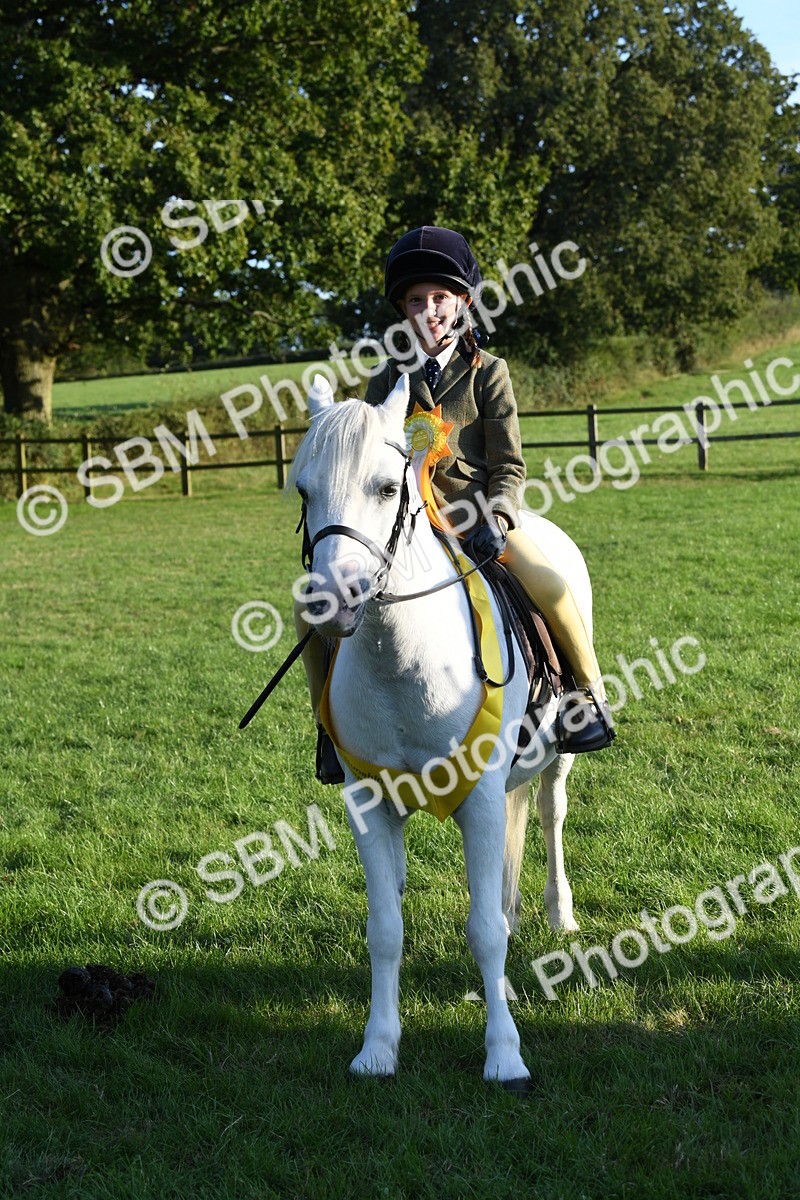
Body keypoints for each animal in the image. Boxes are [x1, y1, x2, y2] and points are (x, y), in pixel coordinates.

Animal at [288, 374, 593, 1090]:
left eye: (385, 487)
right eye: (303, 489)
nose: (331, 601)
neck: (403, 659)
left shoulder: (477, 799)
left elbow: (483, 931)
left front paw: (504, 1056)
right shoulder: (370, 805)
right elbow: (386, 930)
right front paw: (378, 1048)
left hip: (557, 761)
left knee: (550, 815)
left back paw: (558, 914)